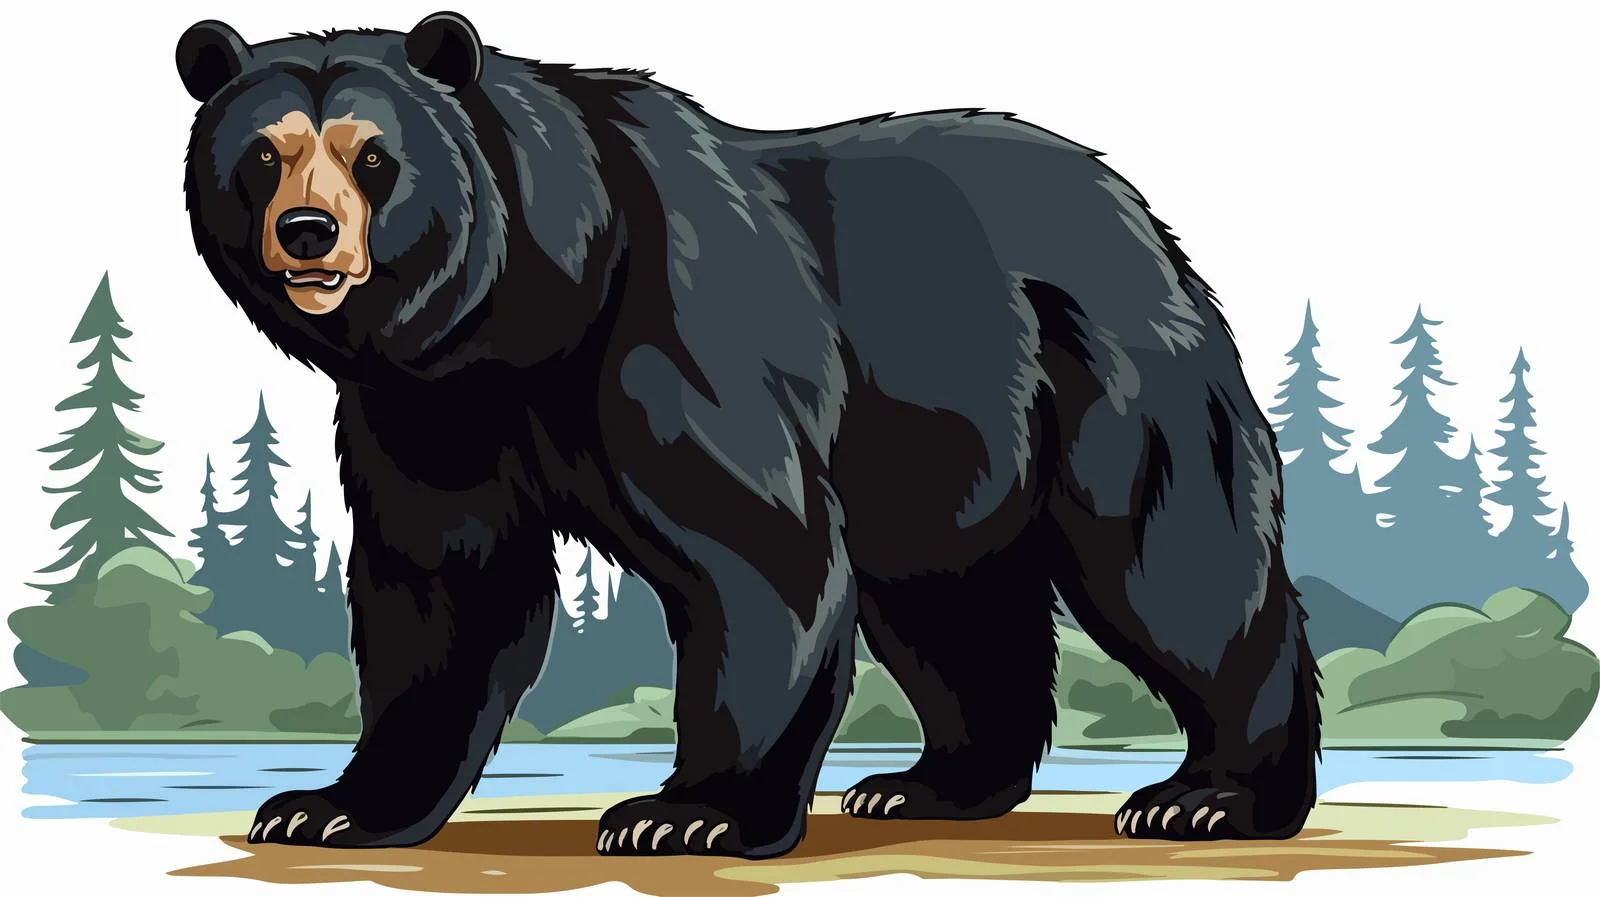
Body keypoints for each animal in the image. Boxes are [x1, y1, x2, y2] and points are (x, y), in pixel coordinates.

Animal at [176, 11, 1321, 858]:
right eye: (264, 153)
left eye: (373, 156)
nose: (309, 233)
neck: (526, 310)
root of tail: (1140, 211)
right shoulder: (428, 410)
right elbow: (444, 592)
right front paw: (329, 805)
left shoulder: (669, 337)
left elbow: (758, 551)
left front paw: (688, 812)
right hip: (940, 447)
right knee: (953, 606)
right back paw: (928, 782)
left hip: (1105, 373)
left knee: (1172, 558)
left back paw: (1211, 794)